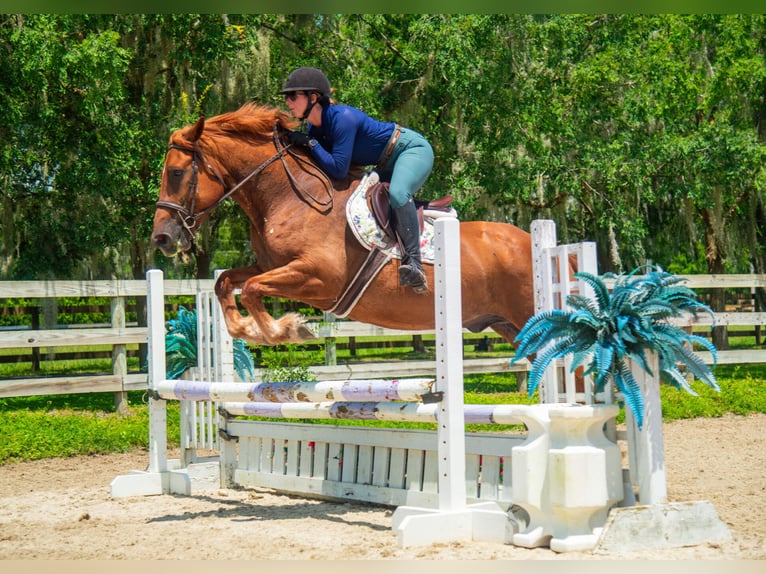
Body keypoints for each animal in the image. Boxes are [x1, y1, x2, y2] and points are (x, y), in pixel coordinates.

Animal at [151, 102, 535, 347]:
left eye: (176, 173)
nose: (162, 238)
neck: (288, 196)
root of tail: (531, 241)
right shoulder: (271, 265)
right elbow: (225, 283)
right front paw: (250, 329)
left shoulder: (320, 276)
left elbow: (251, 289)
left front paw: (289, 330)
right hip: (508, 325)